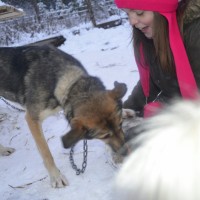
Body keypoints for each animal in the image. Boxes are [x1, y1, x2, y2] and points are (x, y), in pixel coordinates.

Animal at [0, 45, 127, 188]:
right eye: (104, 136)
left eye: (121, 124)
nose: (126, 152)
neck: (68, 81)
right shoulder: (32, 119)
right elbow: (46, 153)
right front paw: (56, 177)